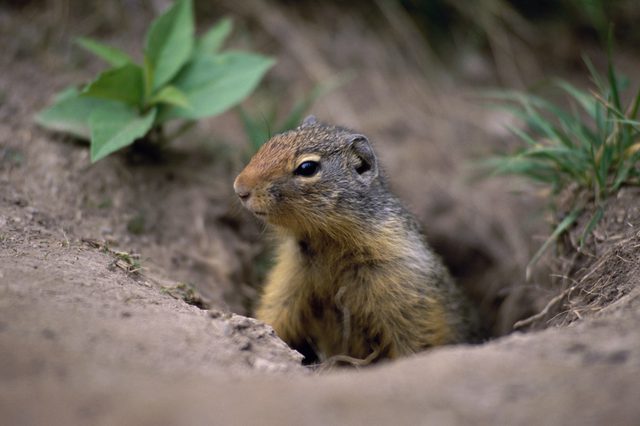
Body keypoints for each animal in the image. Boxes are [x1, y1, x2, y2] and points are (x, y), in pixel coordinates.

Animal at [232, 115, 478, 362]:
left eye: (307, 168)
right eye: (269, 143)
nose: (240, 188)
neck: (327, 242)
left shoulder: (405, 292)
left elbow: (418, 340)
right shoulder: (289, 279)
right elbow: (276, 312)